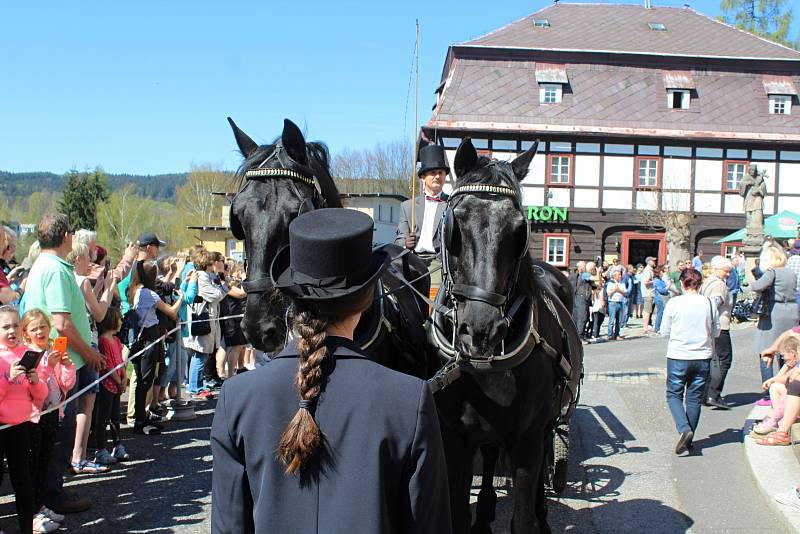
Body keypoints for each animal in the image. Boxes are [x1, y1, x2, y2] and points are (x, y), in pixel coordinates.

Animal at [432, 139, 580, 534]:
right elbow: (456, 512)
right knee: (489, 453)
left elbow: (522, 519)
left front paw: (534, 516)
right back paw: (484, 513)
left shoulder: (527, 440)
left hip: (548, 421)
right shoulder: (454, 437)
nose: (482, 330)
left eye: (519, 230)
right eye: (455, 223)